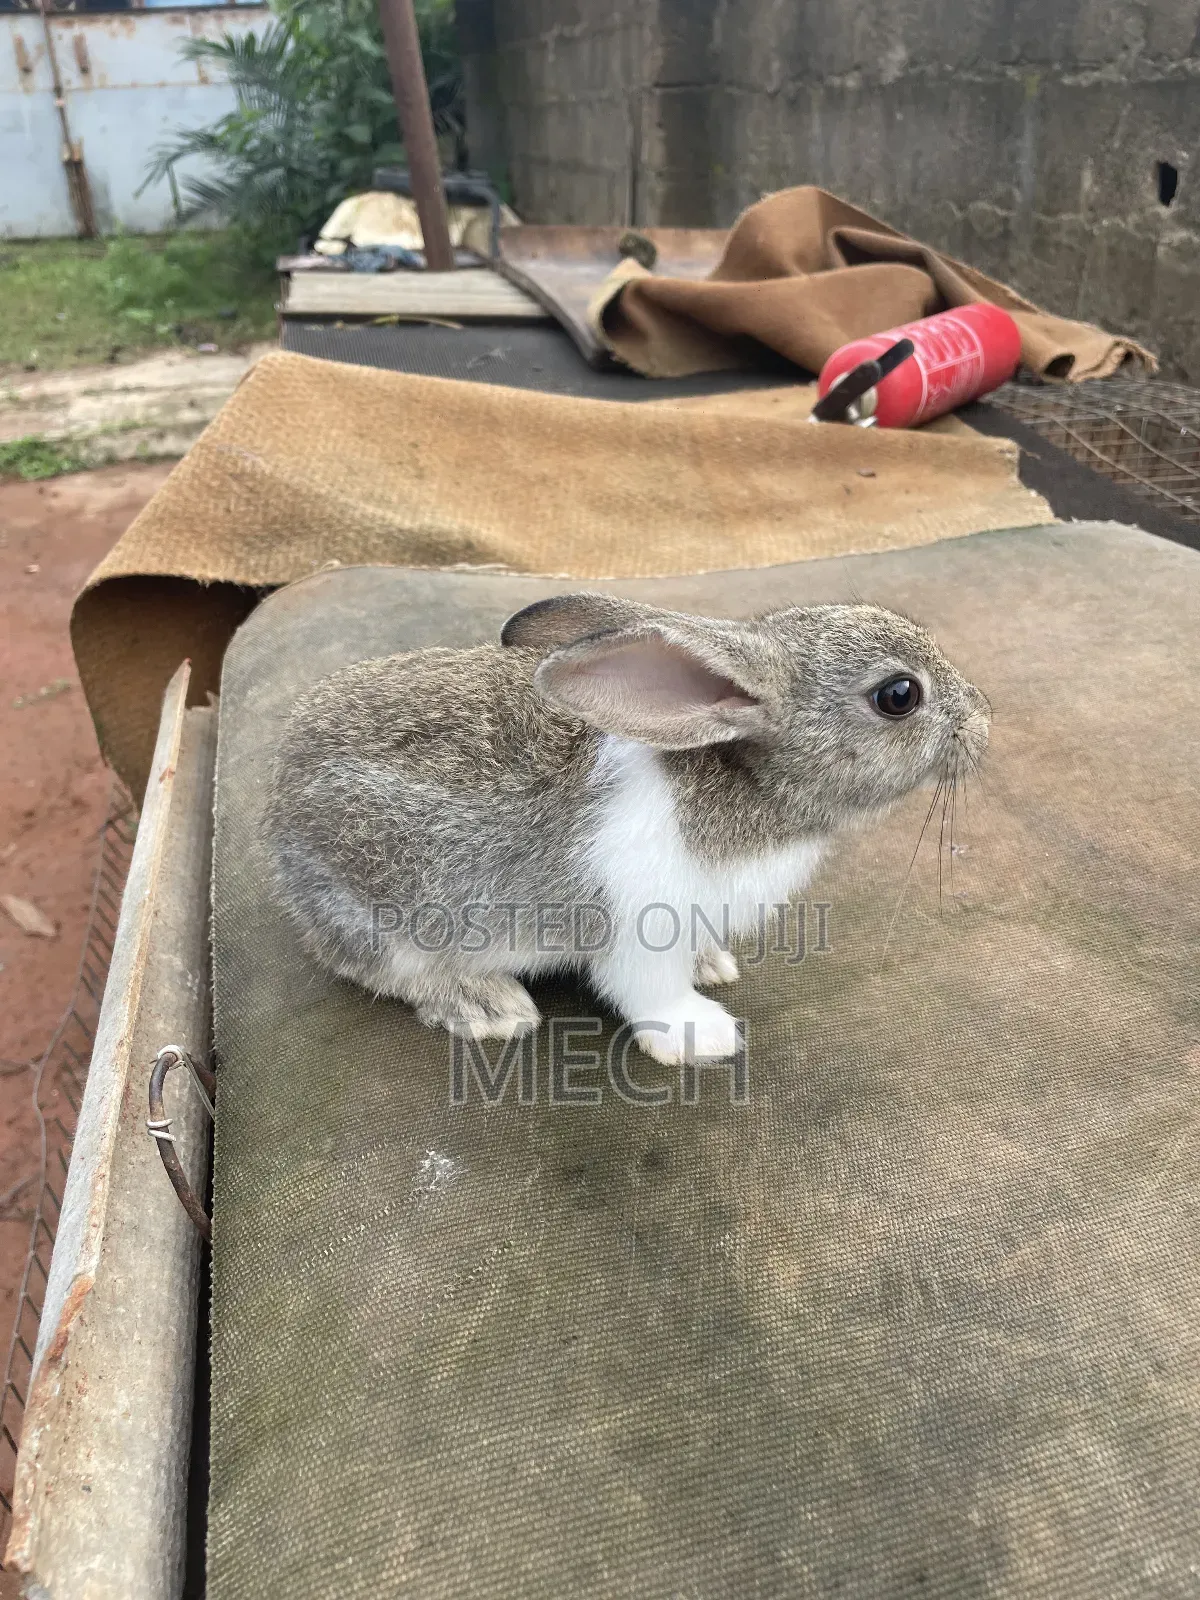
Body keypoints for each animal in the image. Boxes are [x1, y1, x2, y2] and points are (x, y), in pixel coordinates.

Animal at [264, 592, 989, 1065]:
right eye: (899, 695)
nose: (983, 722)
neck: (744, 778)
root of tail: (275, 802)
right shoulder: (642, 928)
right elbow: (650, 992)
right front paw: (704, 1036)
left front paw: (712, 964)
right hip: (378, 908)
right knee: (386, 968)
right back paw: (489, 1006)